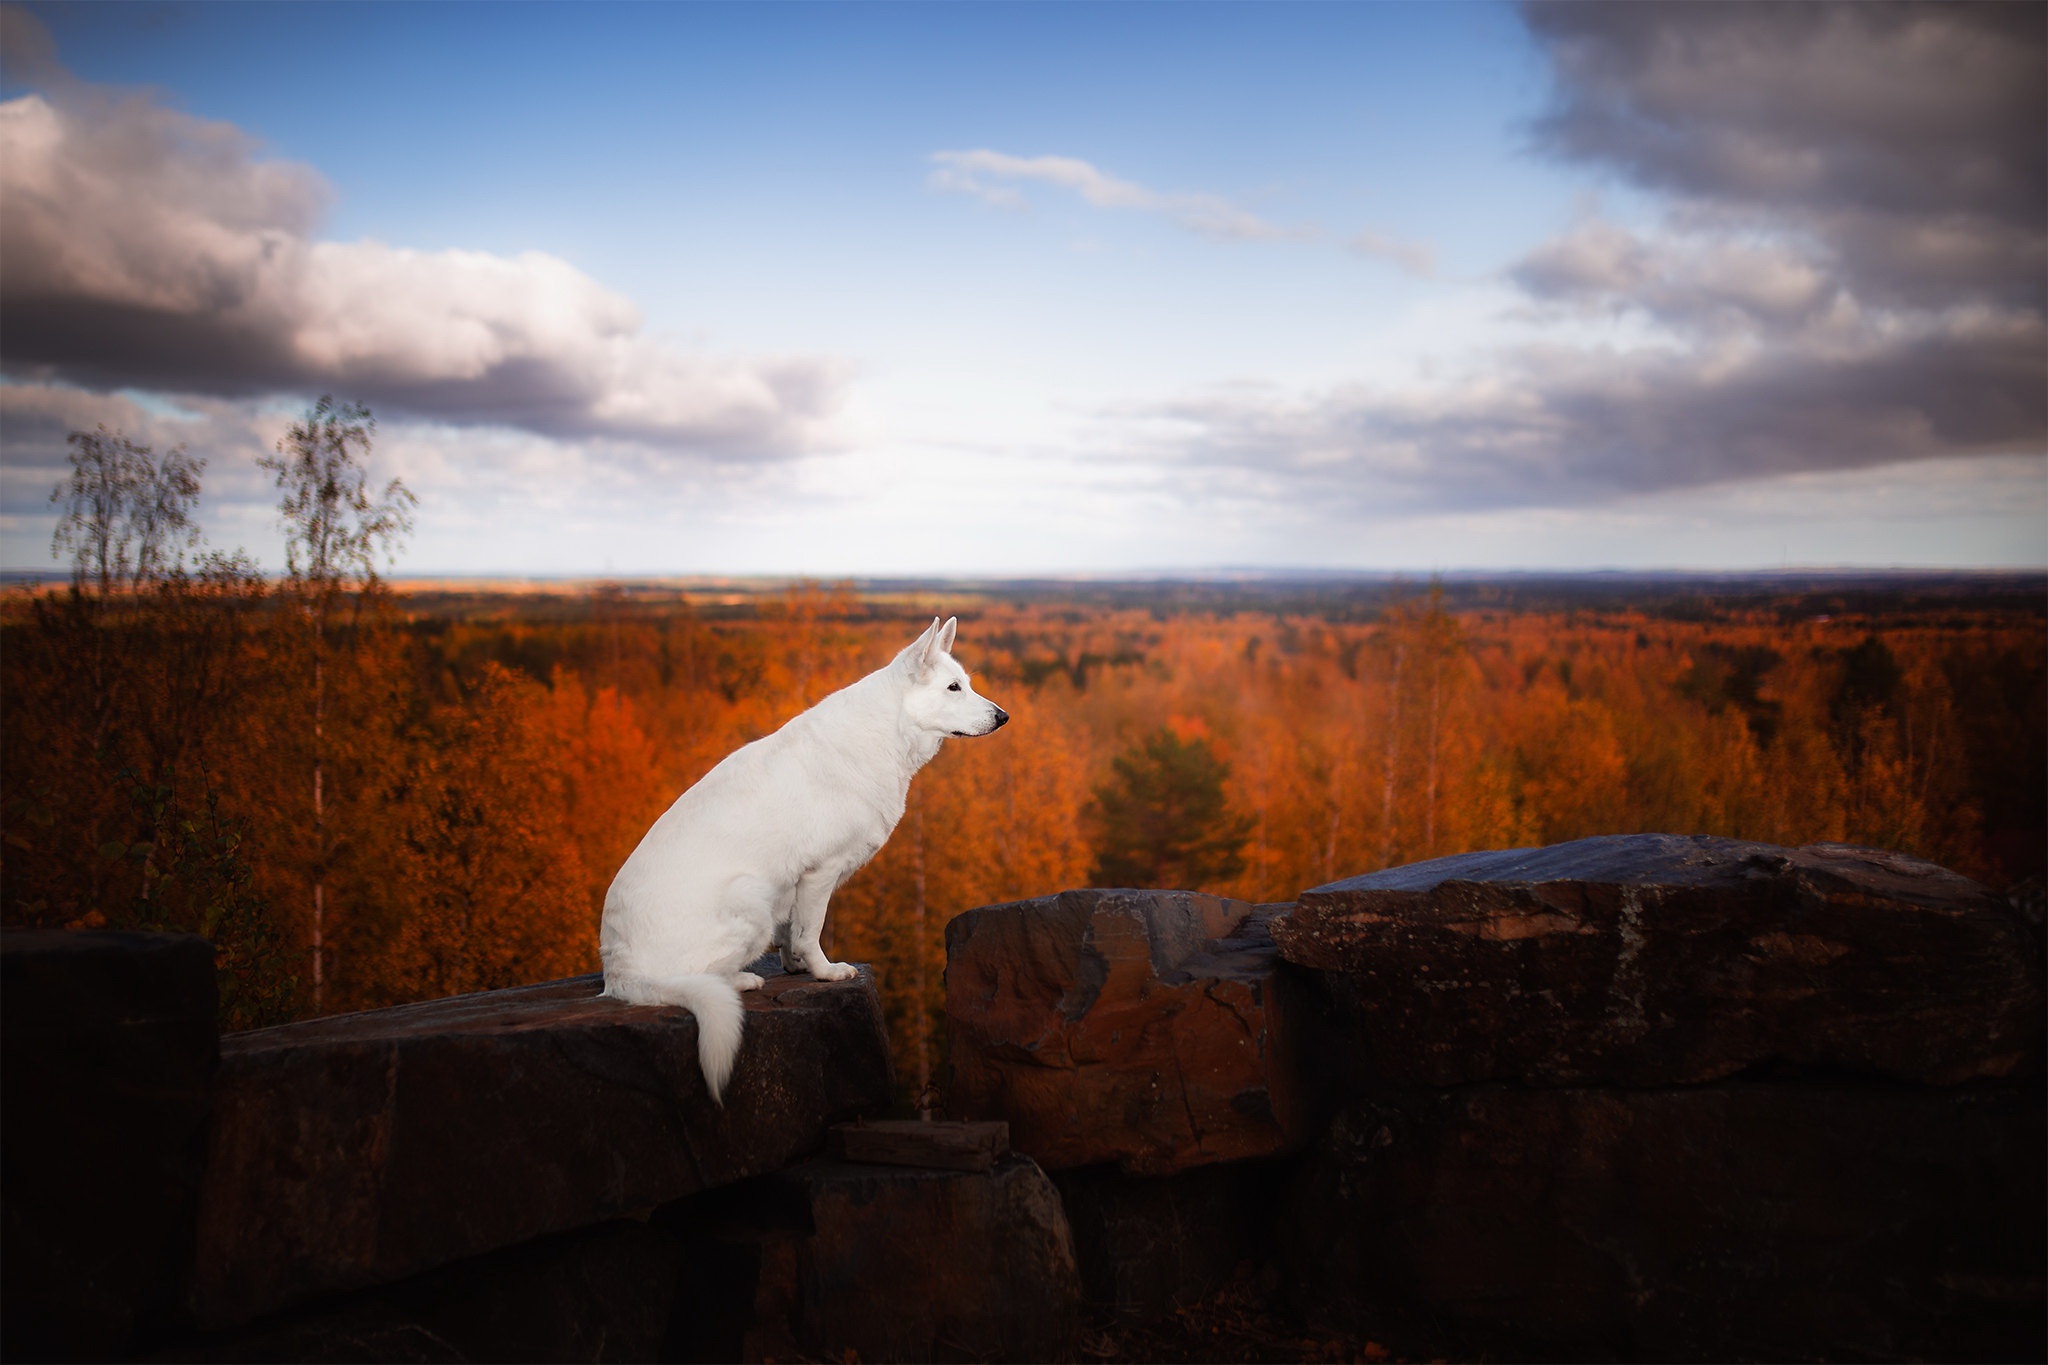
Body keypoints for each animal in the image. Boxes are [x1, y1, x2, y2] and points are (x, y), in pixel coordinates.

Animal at [593, 618, 1007, 1096]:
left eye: (967, 684)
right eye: (953, 688)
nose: (1003, 717)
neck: (886, 730)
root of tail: (618, 972)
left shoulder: (796, 887)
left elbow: (792, 932)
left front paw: (793, 966)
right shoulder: (819, 873)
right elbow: (811, 932)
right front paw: (825, 972)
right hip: (750, 901)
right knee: (702, 977)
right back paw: (744, 979)